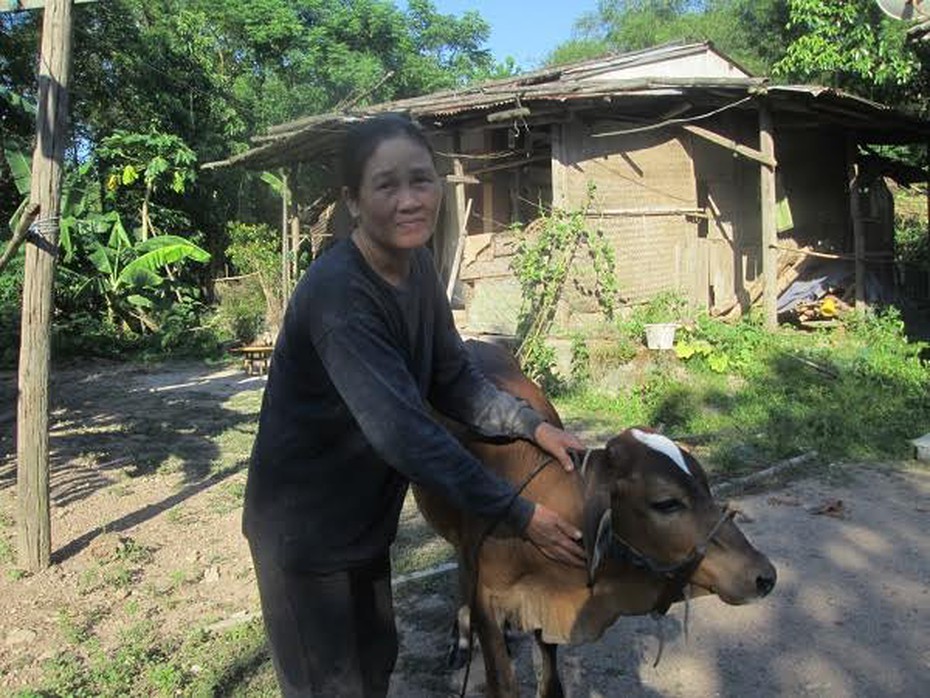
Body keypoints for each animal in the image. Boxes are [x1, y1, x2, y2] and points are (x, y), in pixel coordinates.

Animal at [414, 338, 776, 696]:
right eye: (666, 503)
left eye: (706, 486)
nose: (765, 577)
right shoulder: (487, 598)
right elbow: (502, 682)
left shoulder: (546, 607)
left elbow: (552, 682)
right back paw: (461, 638)